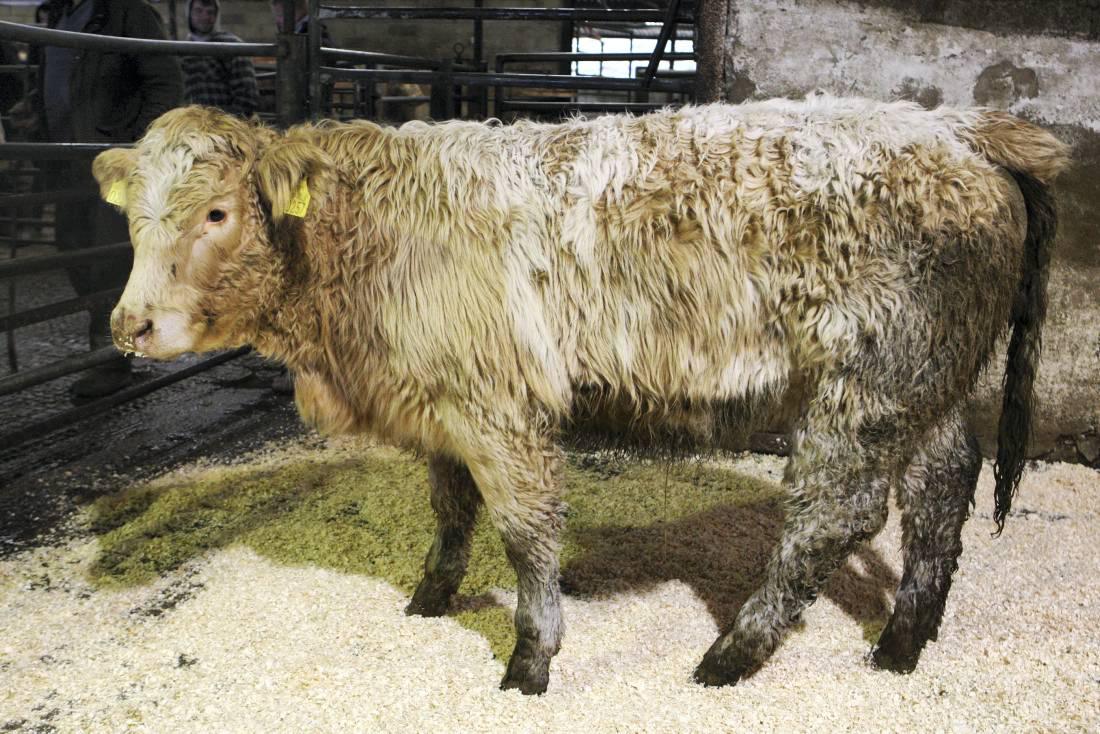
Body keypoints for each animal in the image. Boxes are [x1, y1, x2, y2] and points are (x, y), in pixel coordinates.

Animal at [92, 96, 1068, 695]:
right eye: (132, 217)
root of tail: (954, 126)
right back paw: (903, 642)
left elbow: (526, 533)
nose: (131, 325)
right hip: (930, 383)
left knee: (836, 514)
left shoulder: (499, 408)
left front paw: (531, 659)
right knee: (941, 492)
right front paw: (430, 596)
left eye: (217, 212)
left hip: (863, 390)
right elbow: (450, 509)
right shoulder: (442, 407)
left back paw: (733, 653)